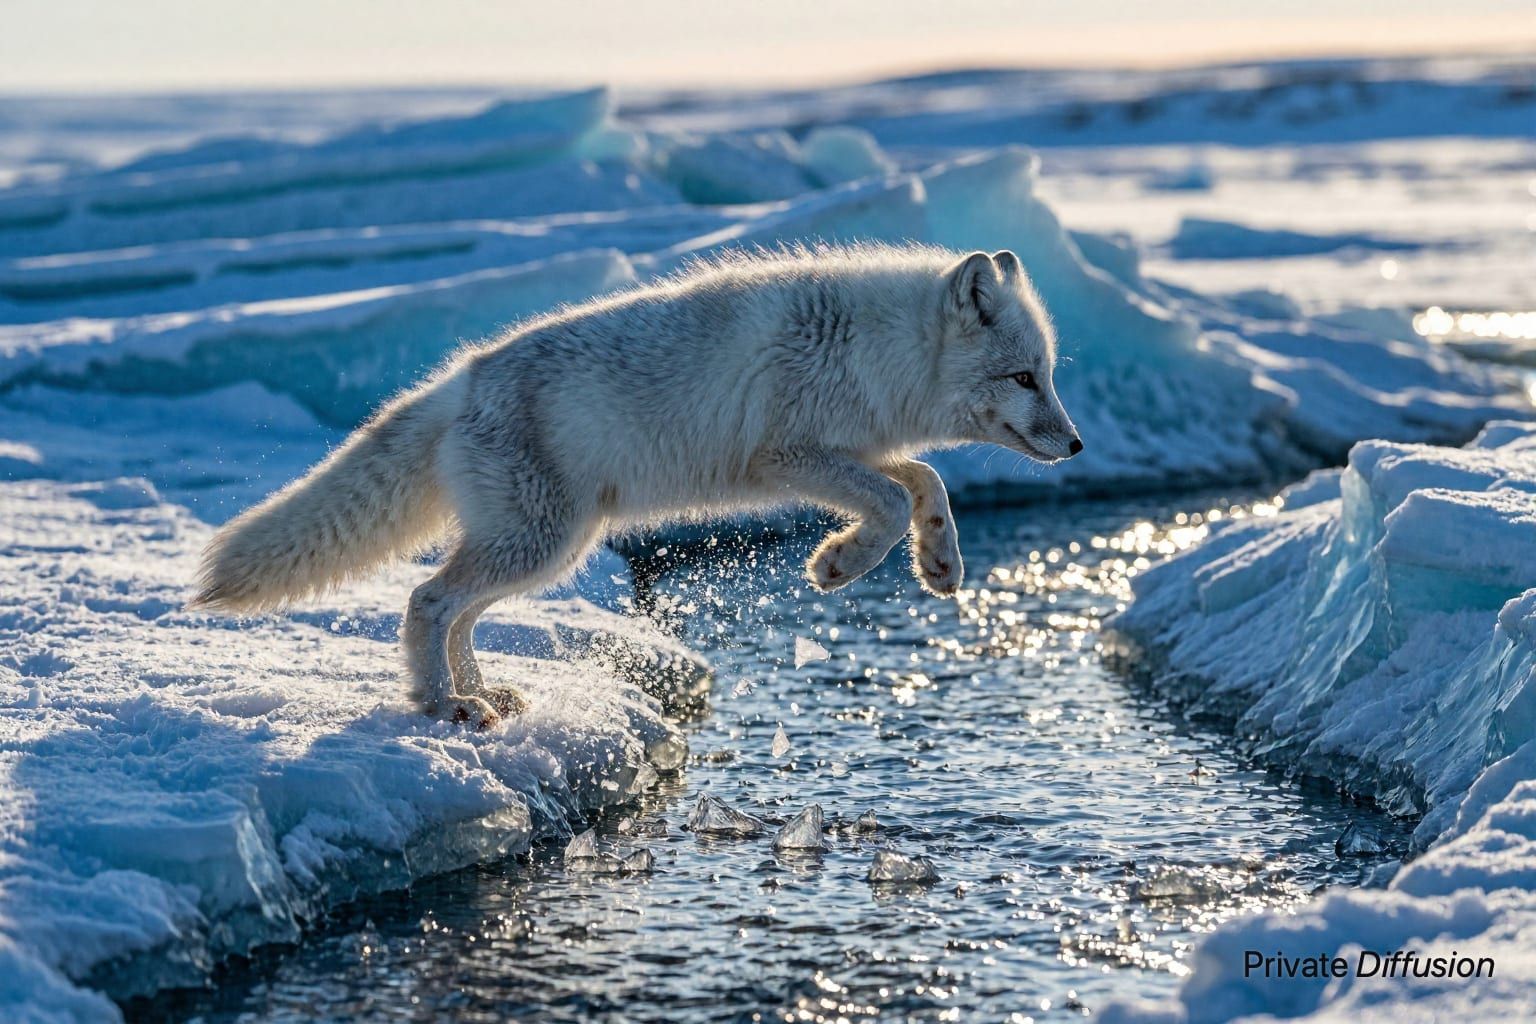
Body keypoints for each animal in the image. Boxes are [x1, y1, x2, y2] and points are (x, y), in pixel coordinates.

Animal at [191, 244, 1082, 727]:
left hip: (544, 550)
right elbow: (893, 498)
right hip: (539, 544)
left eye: (1048, 374)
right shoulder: (785, 458)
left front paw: (940, 562)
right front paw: (837, 565)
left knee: (457, 614)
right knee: (426, 602)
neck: (875, 346)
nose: (1075, 444)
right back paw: (443, 707)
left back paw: (483, 697)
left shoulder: (851, 449)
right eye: (1024, 377)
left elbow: (923, 479)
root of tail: (462, 378)